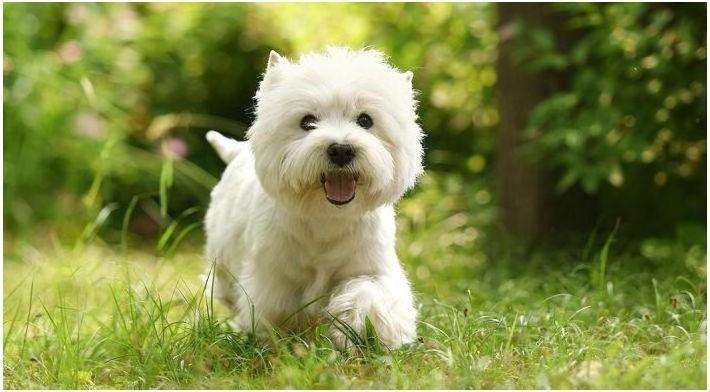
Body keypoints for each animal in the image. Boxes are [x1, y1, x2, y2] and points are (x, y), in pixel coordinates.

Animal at [206, 46, 426, 350]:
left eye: (366, 120)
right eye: (307, 121)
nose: (341, 150)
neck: (326, 217)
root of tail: (237, 152)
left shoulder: (371, 268)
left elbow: (370, 293)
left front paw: (371, 331)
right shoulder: (274, 275)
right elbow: (276, 309)